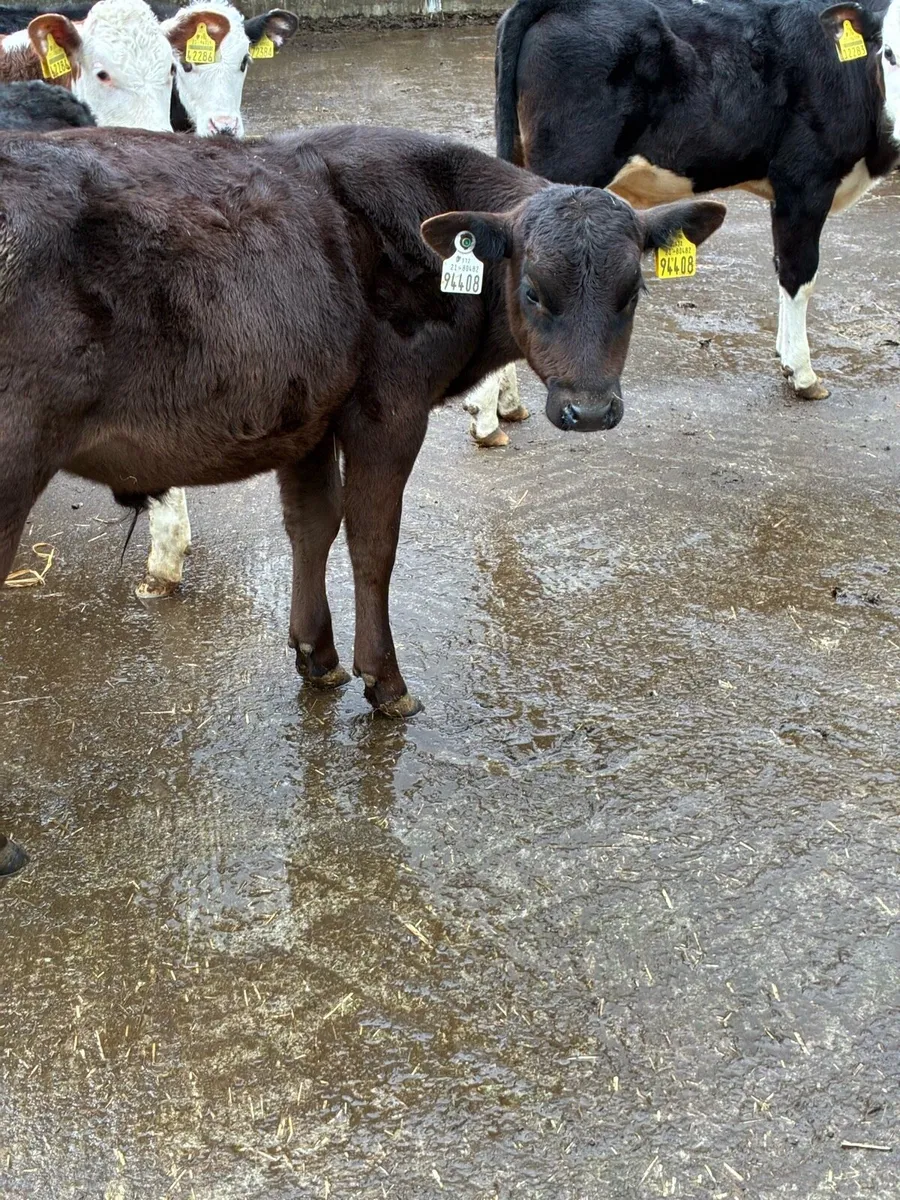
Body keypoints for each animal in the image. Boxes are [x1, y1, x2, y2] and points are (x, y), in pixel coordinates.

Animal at [0, 124, 725, 715]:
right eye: (532, 292)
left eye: (633, 292)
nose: (591, 409)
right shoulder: (389, 409)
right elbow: (372, 543)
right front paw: (385, 682)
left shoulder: (304, 412)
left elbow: (311, 526)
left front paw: (315, 656)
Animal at [471, 0, 899, 446]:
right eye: (888, 53)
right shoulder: (804, 182)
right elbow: (800, 275)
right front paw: (802, 374)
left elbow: (783, 268)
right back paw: (486, 419)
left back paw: (506, 404)